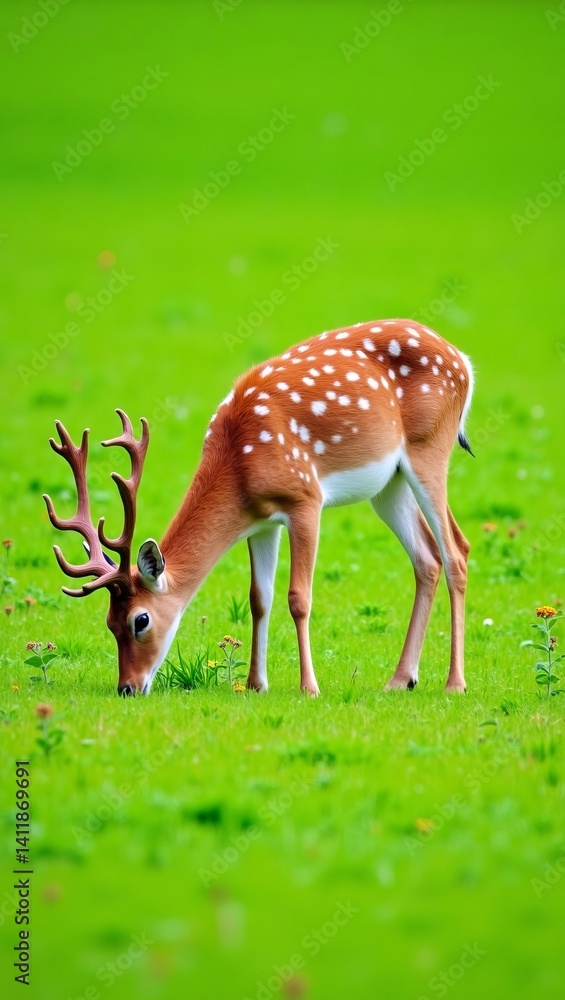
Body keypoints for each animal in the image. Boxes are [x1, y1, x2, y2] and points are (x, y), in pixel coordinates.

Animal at [44, 319, 474, 697]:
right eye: (108, 622)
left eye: (141, 620)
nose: (127, 688)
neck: (240, 463)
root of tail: (463, 361)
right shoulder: (262, 521)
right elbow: (258, 598)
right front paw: (255, 684)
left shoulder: (305, 498)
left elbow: (298, 598)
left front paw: (309, 687)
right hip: (388, 485)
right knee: (428, 557)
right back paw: (401, 679)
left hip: (429, 446)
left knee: (456, 551)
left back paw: (454, 684)